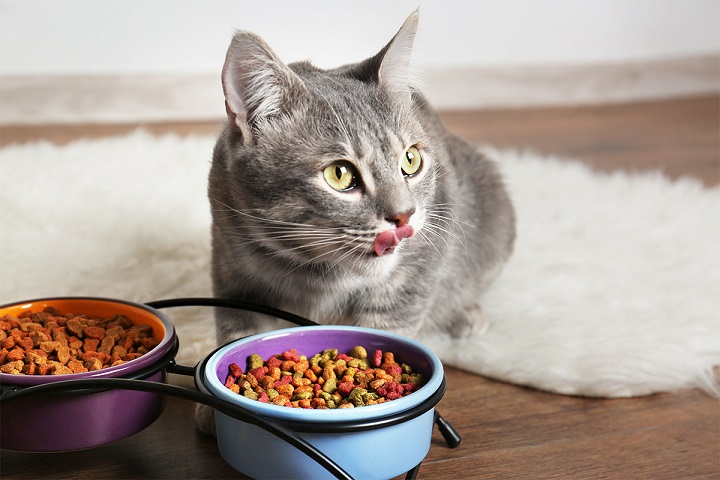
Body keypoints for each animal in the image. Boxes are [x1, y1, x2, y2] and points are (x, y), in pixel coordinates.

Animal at [208, 11, 516, 348]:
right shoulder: (233, 275)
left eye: (411, 160)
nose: (405, 215)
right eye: (339, 174)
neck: (314, 276)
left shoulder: (415, 269)